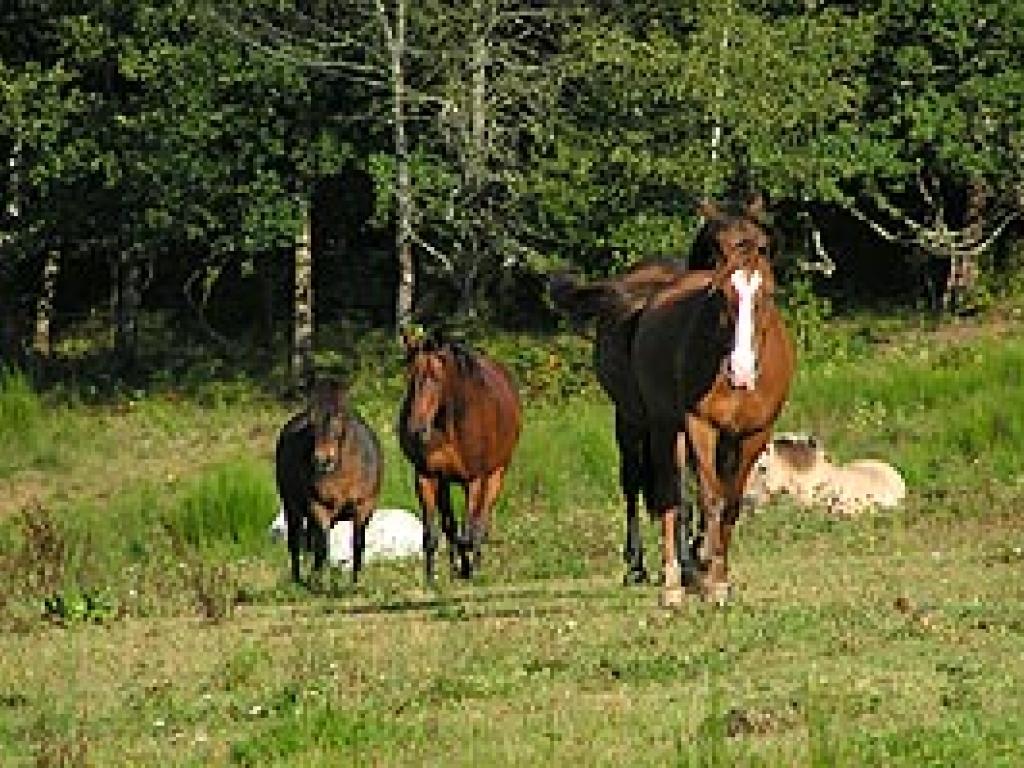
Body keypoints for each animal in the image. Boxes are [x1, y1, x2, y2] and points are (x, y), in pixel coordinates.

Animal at [274, 382, 382, 585]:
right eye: (312, 421)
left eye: (339, 416)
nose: (322, 459)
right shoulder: (318, 507)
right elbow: (322, 546)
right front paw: (316, 581)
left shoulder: (364, 507)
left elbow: (358, 543)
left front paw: (355, 583)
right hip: (291, 507)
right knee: (296, 540)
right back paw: (298, 579)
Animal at [399, 331, 524, 581]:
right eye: (410, 378)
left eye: (436, 378)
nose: (416, 429)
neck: (450, 424)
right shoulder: (427, 476)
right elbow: (433, 533)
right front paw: (431, 579)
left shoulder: (474, 478)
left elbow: (470, 529)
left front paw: (469, 568)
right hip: (445, 481)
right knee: (451, 525)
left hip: (496, 473)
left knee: (481, 521)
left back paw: (472, 565)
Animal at [548, 196, 794, 606]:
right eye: (721, 293)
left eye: (769, 293)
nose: (742, 372)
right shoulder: (698, 425)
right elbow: (705, 498)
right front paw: (706, 578)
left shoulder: (753, 434)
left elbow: (730, 504)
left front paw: (717, 575)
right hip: (640, 423)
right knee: (651, 488)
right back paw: (654, 574)